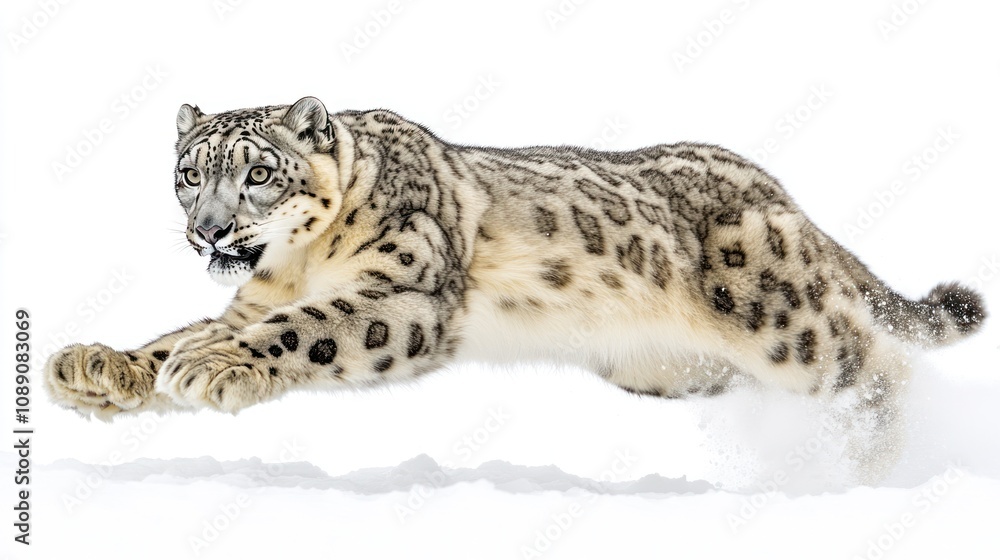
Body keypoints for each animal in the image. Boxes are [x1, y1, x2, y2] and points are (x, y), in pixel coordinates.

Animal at [43, 96, 985, 481]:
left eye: (258, 174)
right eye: (188, 174)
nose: (208, 229)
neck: (292, 265)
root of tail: (777, 189)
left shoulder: (405, 294)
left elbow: (307, 328)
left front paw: (215, 368)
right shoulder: (247, 299)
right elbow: (175, 334)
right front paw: (96, 368)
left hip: (788, 326)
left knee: (876, 366)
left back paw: (876, 468)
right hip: (664, 369)